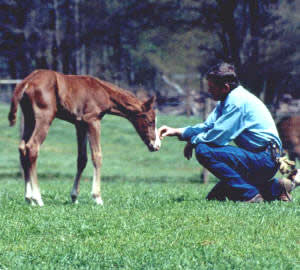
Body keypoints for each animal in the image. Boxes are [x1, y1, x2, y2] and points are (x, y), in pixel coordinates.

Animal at [8, 69, 161, 205]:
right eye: (150, 121)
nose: (156, 145)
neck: (103, 91)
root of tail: (26, 82)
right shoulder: (92, 121)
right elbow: (97, 156)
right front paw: (97, 197)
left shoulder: (80, 125)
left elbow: (82, 159)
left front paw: (74, 197)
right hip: (44, 118)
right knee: (32, 147)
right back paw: (37, 198)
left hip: (29, 118)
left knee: (22, 148)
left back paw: (28, 198)